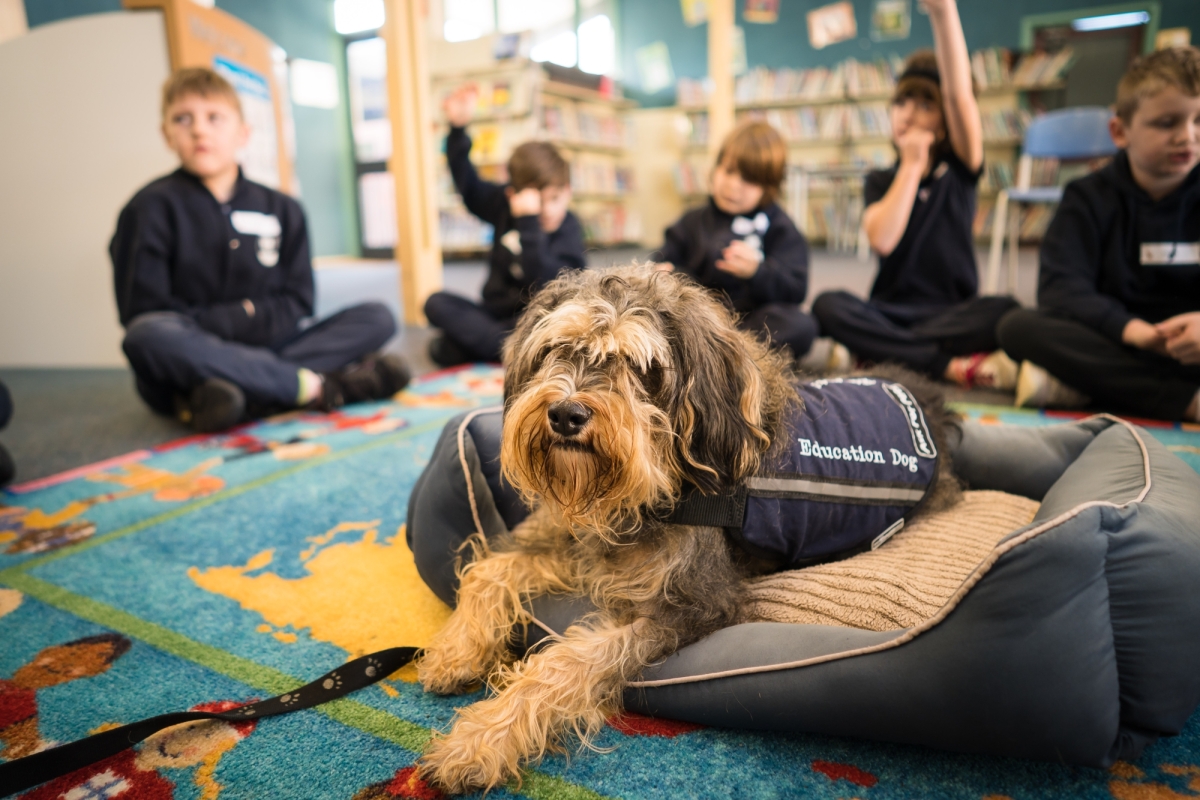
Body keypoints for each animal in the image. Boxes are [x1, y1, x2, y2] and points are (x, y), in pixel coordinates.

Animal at [412, 266, 955, 791]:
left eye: (639, 366)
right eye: (557, 348)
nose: (565, 413)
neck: (659, 485)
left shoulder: (693, 607)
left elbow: (571, 661)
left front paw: (479, 741)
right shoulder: (588, 544)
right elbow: (491, 569)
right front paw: (455, 653)